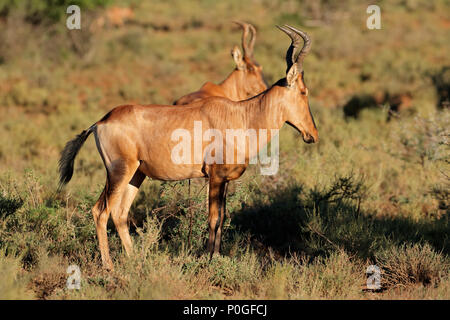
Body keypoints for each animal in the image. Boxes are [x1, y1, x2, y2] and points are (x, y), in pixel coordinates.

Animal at [59, 25, 318, 270]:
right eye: (304, 91)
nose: (312, 135)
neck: (241, 115)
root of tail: (100, 122)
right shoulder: (215, 177)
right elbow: (214, 218)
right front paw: (209, 259)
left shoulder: (224, 180)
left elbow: (222, 217)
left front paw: (215, 257)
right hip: (118, 172)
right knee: (100, 211)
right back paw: (109, 267)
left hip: (136, 174)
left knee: (120, 213)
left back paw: (135, 261)